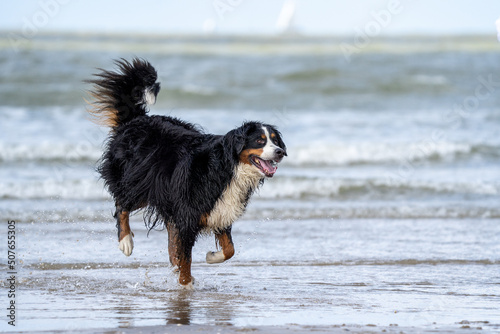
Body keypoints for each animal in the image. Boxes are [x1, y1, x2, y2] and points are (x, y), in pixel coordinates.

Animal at [84, 58, 288, 288]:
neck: (228, 167)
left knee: (169, 237)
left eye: (275, 140)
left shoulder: (219, 211)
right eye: (260, 141)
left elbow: (229, 249)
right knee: (121, 205)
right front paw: (185, 285)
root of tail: (135, 120)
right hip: (140, 185)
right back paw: (126, 242)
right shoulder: (189, 215)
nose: (280, 152)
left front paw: (211, 256)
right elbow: (187, 258)